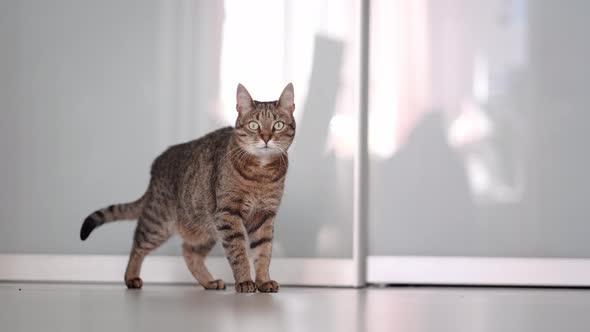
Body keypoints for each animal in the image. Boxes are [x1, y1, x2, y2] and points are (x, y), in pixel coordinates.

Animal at [81, 83, 298, 294]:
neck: (261, 176)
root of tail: (155, 167)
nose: (266, 137)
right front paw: (244, 281)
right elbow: (238, 252)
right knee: (137, 246)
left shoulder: (264, 216)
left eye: (278, 125)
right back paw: (131, 277)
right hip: (159, 223)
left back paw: (209, 282)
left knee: (188, 252)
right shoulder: (228, 214)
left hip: (205, 228)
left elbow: (263, 252)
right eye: (254, 125)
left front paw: (263, 281)